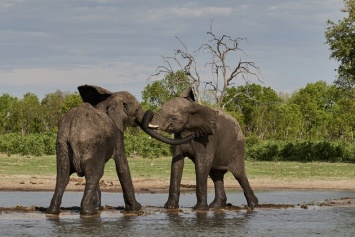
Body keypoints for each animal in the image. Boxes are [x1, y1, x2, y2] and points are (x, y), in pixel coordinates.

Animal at [47, 85, 192, 217]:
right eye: (137, 109)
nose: (191, 135)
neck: (109, 100)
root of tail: (72, 129)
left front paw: (100, 207)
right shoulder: (117, 133)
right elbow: (122, 166)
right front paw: (136, 208)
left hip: (62, 144)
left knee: (63, 175)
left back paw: (53, 211)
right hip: (90, 145)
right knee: (94, 175)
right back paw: (88, 212)